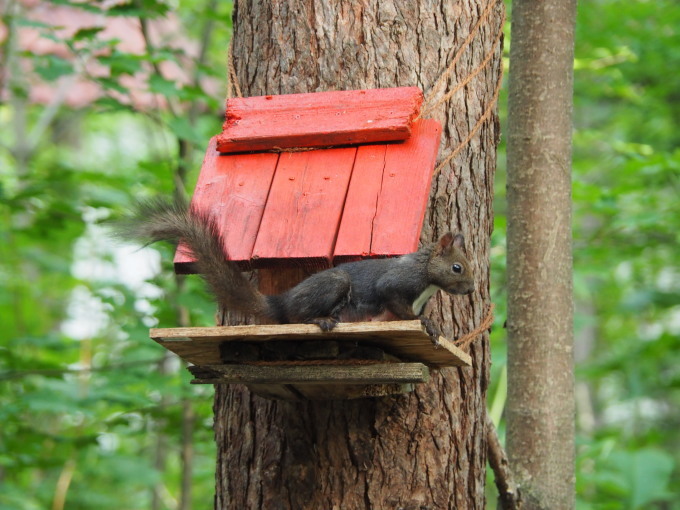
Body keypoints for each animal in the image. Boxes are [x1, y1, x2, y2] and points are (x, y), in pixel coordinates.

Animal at [114, 199, 476, 338]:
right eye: (457, 267)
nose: (471, 289)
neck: (427, 276)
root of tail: (281, 300)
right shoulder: (397, 283)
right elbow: (398, 305)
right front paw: (424, 323)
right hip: (333, 283)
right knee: (298, 316)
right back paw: (321, 319)